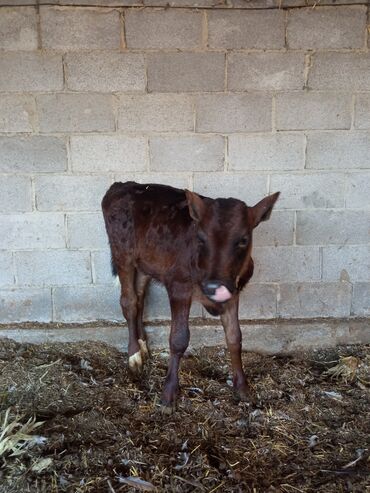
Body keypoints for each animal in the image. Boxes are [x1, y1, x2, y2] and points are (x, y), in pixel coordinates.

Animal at [102, 183, 278, 410]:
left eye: (243, 240)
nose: (215, 287)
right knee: (129, 302)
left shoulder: (233, 292)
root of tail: (123, 185)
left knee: (140, 297)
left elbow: (235, 337)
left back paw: (142, 346)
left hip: (145, 264)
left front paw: (242, 388)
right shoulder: (179, 288)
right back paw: (134, 356)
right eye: (201, 237)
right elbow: (178, 340)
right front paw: (168, 395)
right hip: (123, 255)